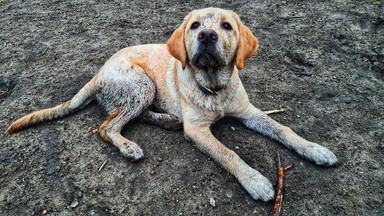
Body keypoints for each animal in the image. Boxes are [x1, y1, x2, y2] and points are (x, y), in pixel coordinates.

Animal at [5, 8, 336, 201]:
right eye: (195, 26)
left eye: (227, 26)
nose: (206, 35)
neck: (214, 87)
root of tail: (98, 72)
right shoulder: (198, 130)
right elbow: (228, 153)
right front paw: (254, 181)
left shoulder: (249, 112)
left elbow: (283, 129)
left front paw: (314, 149)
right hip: (141, 85)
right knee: (107, 126)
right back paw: (128, 146)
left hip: (144, 93)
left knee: (131, 117)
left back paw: (165, 120)